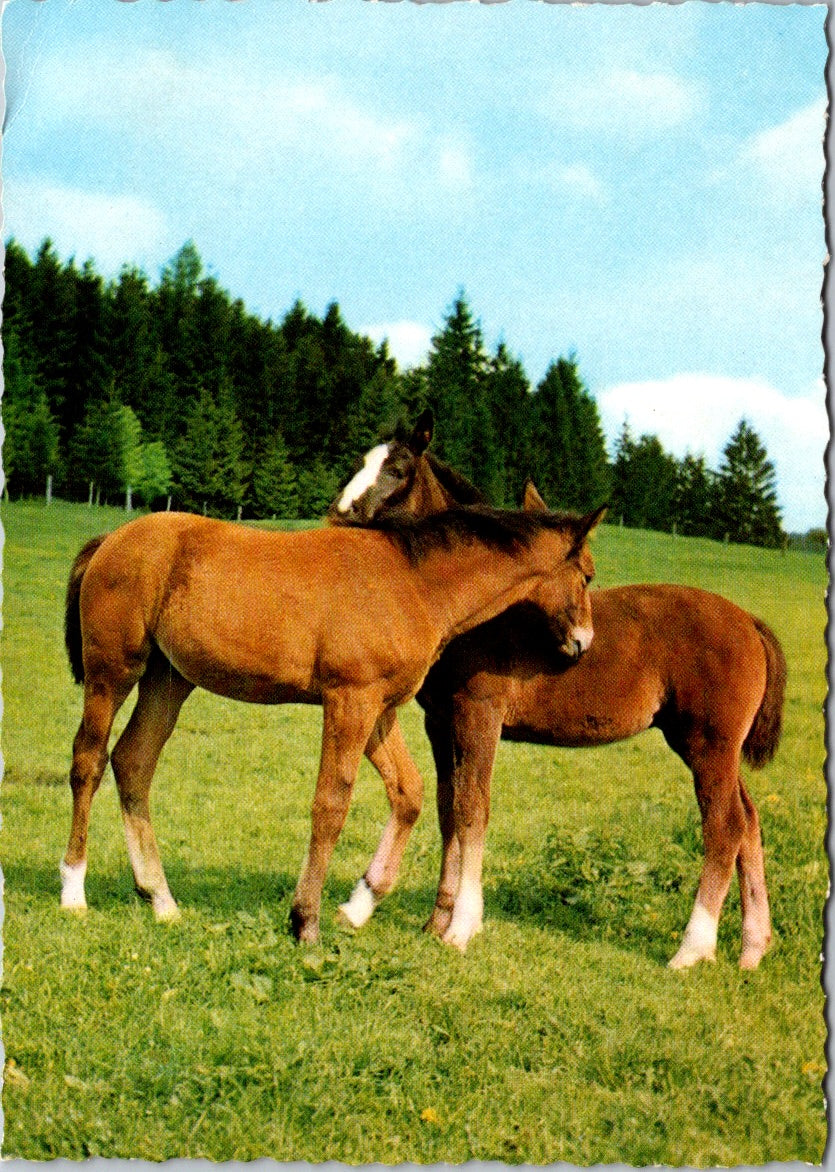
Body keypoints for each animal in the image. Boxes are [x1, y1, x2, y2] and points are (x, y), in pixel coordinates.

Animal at [65, 506, 600, 942]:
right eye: (588, 576)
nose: (583, 643)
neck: (414, 582)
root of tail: (111, 538)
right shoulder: (349, 700)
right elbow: (331, 804)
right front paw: (306, 920)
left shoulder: (380, 708)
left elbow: (408, 793)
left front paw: (360, 904)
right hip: (113, 672)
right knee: (88, 761)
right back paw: (74, 892)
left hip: (168, 679)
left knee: (133, 763)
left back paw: (161, 899)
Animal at [330, 414, 783, 970]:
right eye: (360, 460)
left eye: (396, 469)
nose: (340, 514)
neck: (478, 609)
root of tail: (749, 621)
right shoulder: (441, 723)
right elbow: (448, 809)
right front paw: (437, 922)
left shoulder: (479, 715)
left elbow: (473, 809)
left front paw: (462, 927)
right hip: (709, 747)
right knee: (750, 821)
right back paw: (752, 948)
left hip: (709, 746)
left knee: (725, 826)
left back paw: (692, 949)